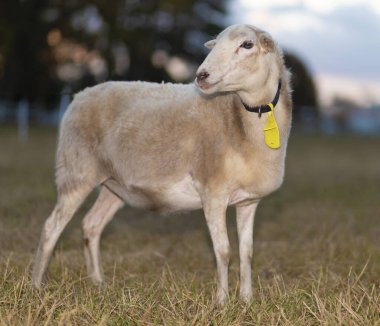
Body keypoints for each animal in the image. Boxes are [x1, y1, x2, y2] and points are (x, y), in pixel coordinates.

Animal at [32, 24, 292, 304]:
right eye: (215, 44)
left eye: (247, 44)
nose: (202, 75)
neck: (240, 120)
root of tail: (79, 96)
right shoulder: (212, 191)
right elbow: (223, 251)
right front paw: (222, 302)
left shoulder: (248, 201)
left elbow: (247, 252)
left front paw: (246, 300)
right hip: (76, 171)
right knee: (51, 227)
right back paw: (36, 284)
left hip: (113, 185)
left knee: (91, 225)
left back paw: (98, 283)